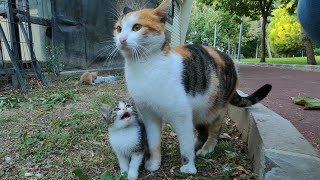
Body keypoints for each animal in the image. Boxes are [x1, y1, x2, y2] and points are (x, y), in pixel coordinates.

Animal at [111, 0, 272, 174]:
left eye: (137, 27)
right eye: (119, 29)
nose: (121, 39)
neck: (145, 66)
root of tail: (228, 58)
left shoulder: (181, 115)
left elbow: (185, 145)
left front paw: (188, 167)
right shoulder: (149, 115)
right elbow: (154, 142)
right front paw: (153, 163)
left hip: (215, 110)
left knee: (214, 130)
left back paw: (207, 148)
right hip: (198, 112)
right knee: (201, 131)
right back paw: (197, 143)